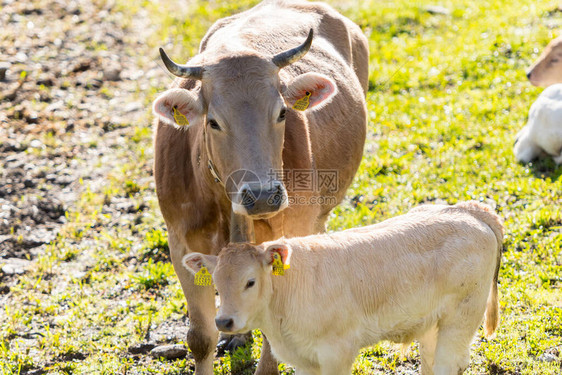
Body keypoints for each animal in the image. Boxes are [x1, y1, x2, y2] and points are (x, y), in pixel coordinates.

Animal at [182, 203, 500, 375]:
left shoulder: (338, 350)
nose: (224, 321)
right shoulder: (303, 359)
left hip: (461, 317)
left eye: (250, 281)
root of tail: (468, 210)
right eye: (216, 284)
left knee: (450, 362)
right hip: (433, 324)